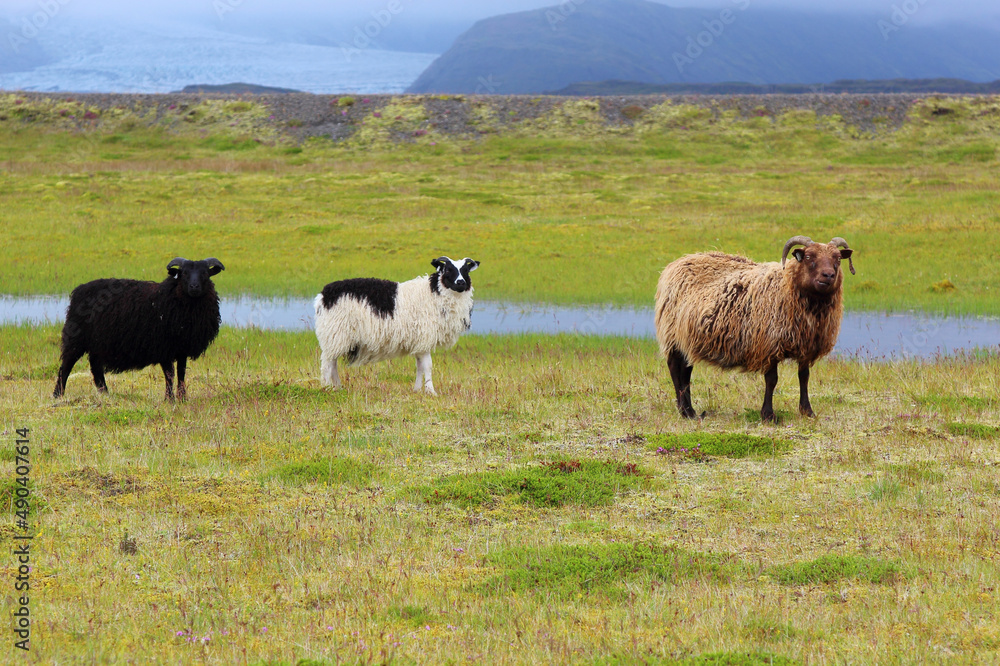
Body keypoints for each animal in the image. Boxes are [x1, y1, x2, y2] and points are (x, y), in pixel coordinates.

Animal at [53, 257, 225, 401]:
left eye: (205, 273)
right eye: (184, 273)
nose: (194, 287)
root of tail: (79, 290)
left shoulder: (182, 348)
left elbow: (181, 373)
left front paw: (182, 398)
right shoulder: (164, 347)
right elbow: (169, 374)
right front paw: (169, 399)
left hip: (98, 343)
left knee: (96, 369)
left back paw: (105, 393)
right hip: (76, 337)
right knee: (66, 366)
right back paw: (58, 394)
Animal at [314, 256, 480, 395]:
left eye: (465, 270)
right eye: (448, 270)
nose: (461, 283)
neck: (434, 294)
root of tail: (323, 295)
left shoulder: (419, 341)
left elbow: (419, 366)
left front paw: (417, 390)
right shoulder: (425, 337)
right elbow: (428, 365)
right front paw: (431, 391)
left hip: (336, 337)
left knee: (333, 363)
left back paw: (338, 387)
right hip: (335, 333)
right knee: (327, 364)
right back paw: (328, 388)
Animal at [654, 236, 854, 422]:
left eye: (837, 258)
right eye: (808, 256)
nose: (828, 275)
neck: (786, 286)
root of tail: (676, 263)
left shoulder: (806, 345)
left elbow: (804, 377)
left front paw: (807, 411)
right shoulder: (768, 344)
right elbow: (772, 380)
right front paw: (768, 415)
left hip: (688, 339)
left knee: (685, 371)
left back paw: (691, 412)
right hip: (672, 334)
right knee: (675, 369)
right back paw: (685, 411)